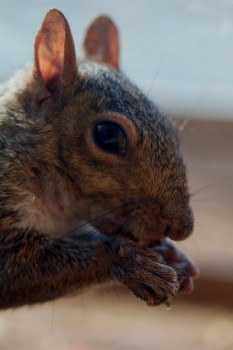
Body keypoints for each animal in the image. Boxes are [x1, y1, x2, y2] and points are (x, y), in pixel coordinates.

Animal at [0, 8, 198, 308]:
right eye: (108, 136)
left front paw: (174, 255)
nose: (182, 229)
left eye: (169, 125)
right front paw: (126, 261)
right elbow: (12, 267)